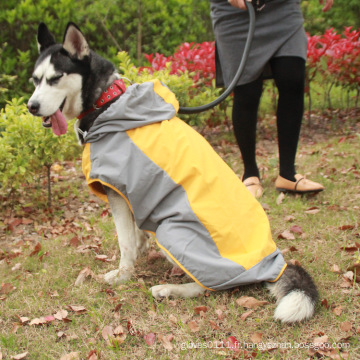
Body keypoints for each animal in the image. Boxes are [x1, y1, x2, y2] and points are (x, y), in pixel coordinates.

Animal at [28, 22, 320, 322]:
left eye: (55, 79)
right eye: (35, 80)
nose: (31, 107)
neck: (107, 102)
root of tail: (273, 264)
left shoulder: (116, 191)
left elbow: (124, 242)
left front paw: (122, 275)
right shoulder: (132, 191)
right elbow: (135, 232)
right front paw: (140, 250)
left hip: (171, 232)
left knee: (212, 287)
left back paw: (168, 289)